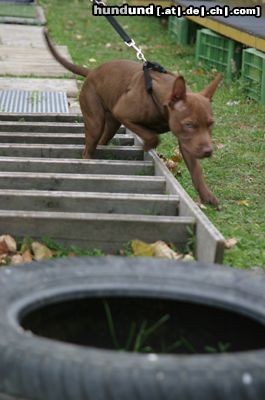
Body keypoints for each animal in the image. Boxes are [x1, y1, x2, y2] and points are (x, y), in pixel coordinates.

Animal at [43, 30, 221, 206]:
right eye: (189, 124)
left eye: (211, 124)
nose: (208, 151)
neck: (160, 95)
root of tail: (92, 71)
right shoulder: (123, 113)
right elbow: (152, 136)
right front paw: (147, 147)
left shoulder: (187, 141)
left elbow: (196, 169)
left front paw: (206, 194)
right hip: (96, 122)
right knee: (88, 148)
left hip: (111, 124)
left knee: (102, 141)